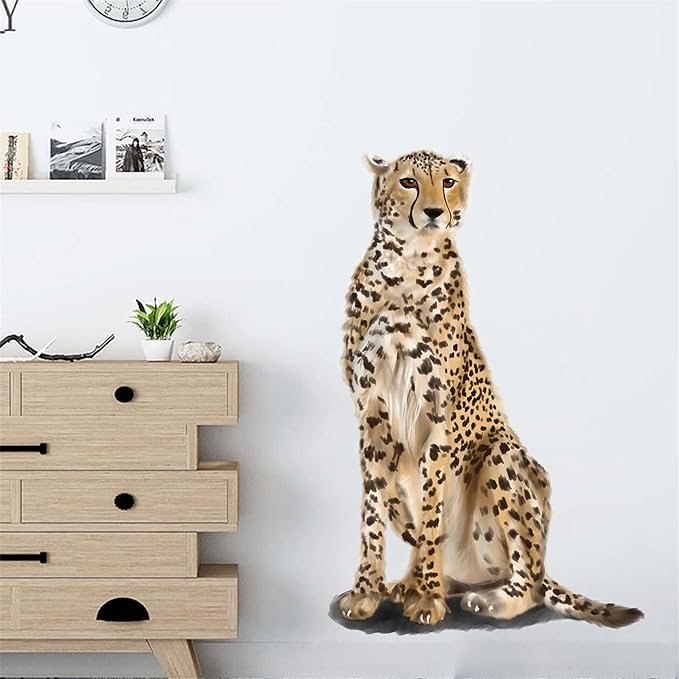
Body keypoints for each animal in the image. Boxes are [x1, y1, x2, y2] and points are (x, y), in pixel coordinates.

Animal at [337, 150, 643, 628]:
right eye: (408, 181)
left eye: (446, 182)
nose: (433, 212)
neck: (407, 266)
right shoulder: (371, 413)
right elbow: (374, 507)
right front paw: (368, 590)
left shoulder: (439, 415)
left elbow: (431, 510)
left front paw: (426, 597)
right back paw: (411, 583)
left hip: (502, 457)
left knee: (530, 583)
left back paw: (481, 596)